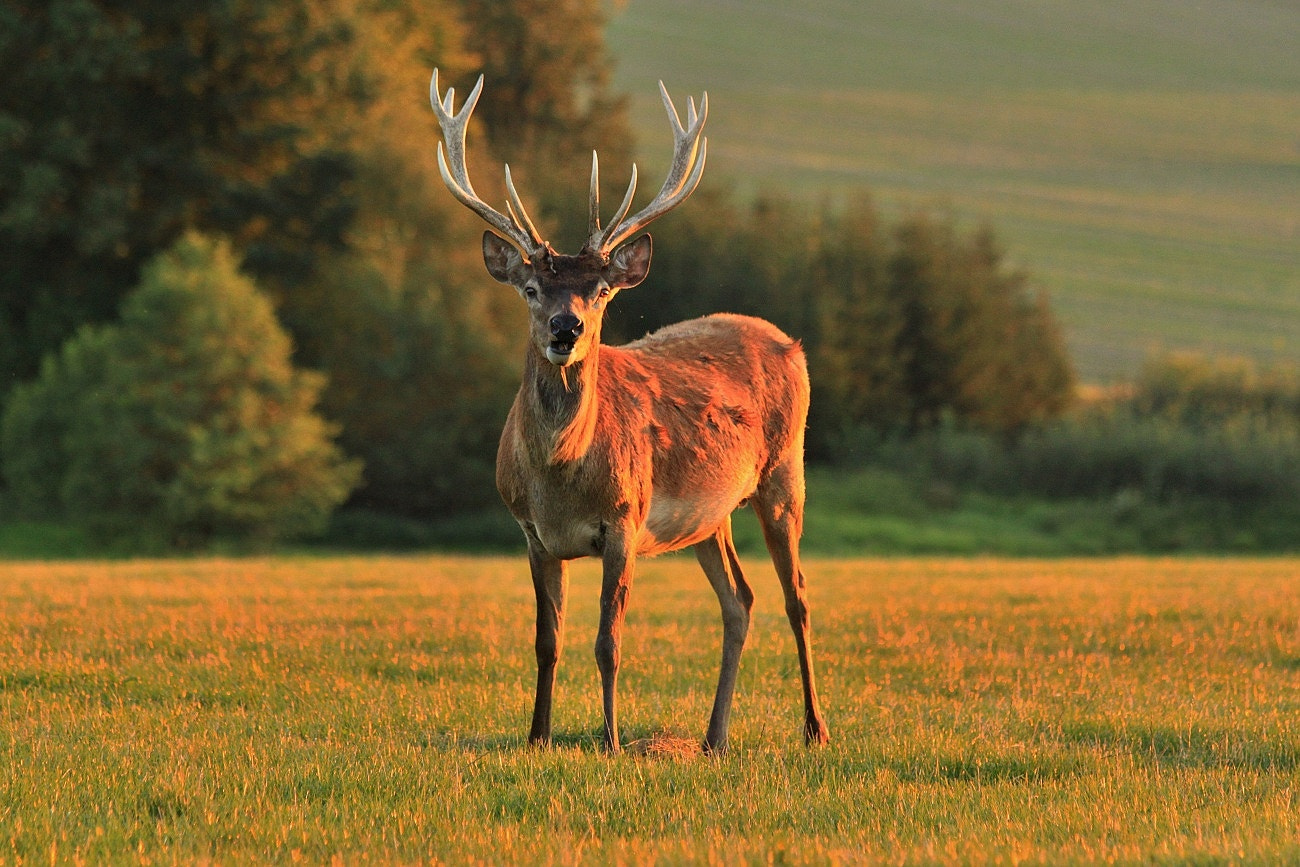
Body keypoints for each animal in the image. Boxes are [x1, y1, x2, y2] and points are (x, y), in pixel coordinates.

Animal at [429, 70, 829, 755]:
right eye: (531, 289)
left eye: (601, 291)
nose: (566, 329)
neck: (560, 479)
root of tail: (790, 343)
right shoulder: (532, 533)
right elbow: (547, 642)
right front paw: (537, 736)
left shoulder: (624, 519)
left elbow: (608, 643)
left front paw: (611, 741)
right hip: (710, 515)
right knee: (739, 600)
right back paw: (713, 738)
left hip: (784, 472)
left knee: (795, 595)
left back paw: (814, 728)